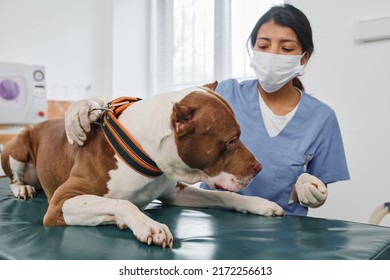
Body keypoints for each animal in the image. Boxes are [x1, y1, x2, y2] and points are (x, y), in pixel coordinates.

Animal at [0, 83, 284, 247]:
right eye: (232, 140)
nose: (258, 167)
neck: (145, 151)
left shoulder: (174, 193)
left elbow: (223, 196)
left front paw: (259, 204)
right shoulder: (61, 202)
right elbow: (122, 203)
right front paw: (150, 225)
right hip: (20, 144)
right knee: (14, 175)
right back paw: (22, 188)